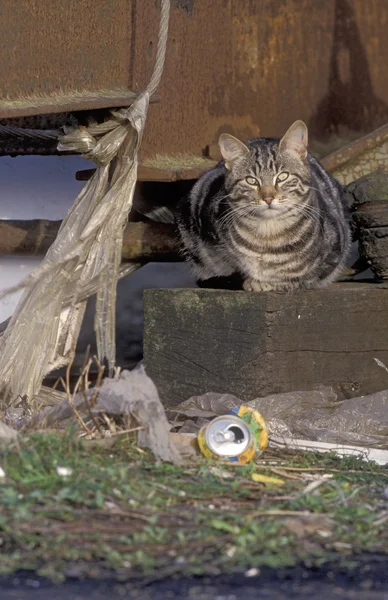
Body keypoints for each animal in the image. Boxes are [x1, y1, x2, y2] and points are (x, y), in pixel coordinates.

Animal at [177, 118, 352, 292]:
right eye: (251, 180)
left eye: (282, 176)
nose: (268, 198)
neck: (268, 236)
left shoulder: (333, 255)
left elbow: (301, 278)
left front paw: (265, 282)